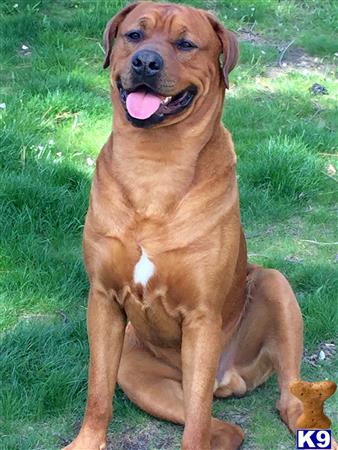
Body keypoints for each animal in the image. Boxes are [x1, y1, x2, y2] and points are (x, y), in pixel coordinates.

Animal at [63, 3, 304, 450]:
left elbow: (195, 421)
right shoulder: (102, 300)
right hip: (138, 373)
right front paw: (87, 441)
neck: (154, 164)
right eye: (134, 35)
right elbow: (98, 392)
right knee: (224, 428)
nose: (145, 62)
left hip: (275, 286)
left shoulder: (201, 316)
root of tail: (228, 379)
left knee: (282, 398)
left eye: (186, 43)